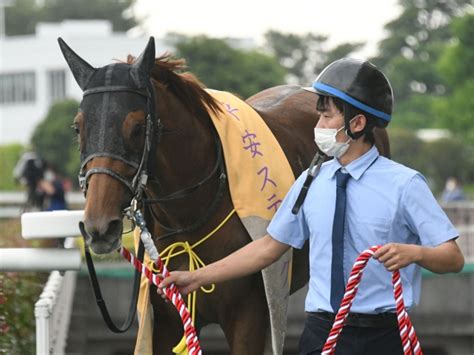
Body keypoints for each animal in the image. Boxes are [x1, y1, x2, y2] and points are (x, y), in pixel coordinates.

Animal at [58, 37, 388, 354]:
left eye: (137, 127)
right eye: (77, 127)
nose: (100, 227)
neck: (190, 216)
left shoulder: (247, 318)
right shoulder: (164, 321)